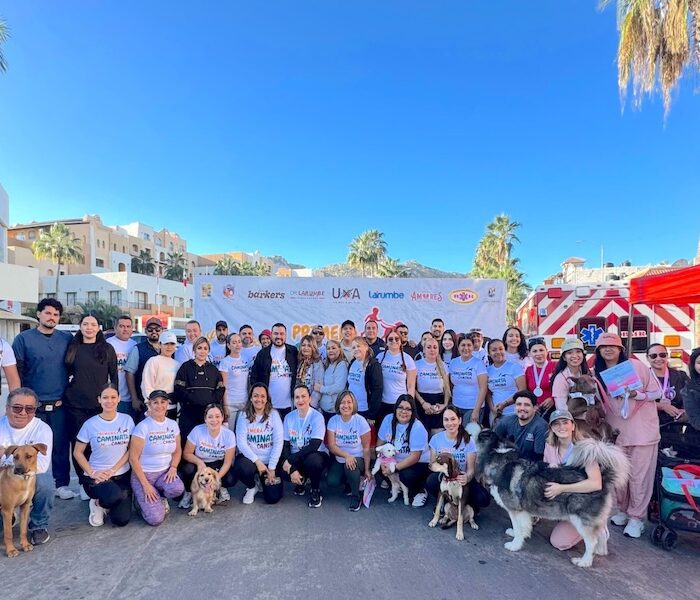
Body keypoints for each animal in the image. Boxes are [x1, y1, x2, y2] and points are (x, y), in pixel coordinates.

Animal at [475, 429, 629, 568]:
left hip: (580, 520)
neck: (501, 459)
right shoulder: (521, 512)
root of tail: (603, 478)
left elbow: (519, 528)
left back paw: (584, 562)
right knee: (601, 533)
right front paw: (514, 534)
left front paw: (515, 545)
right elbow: (518, 527)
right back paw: (600, 552)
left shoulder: (516, 510)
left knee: (592, 541)